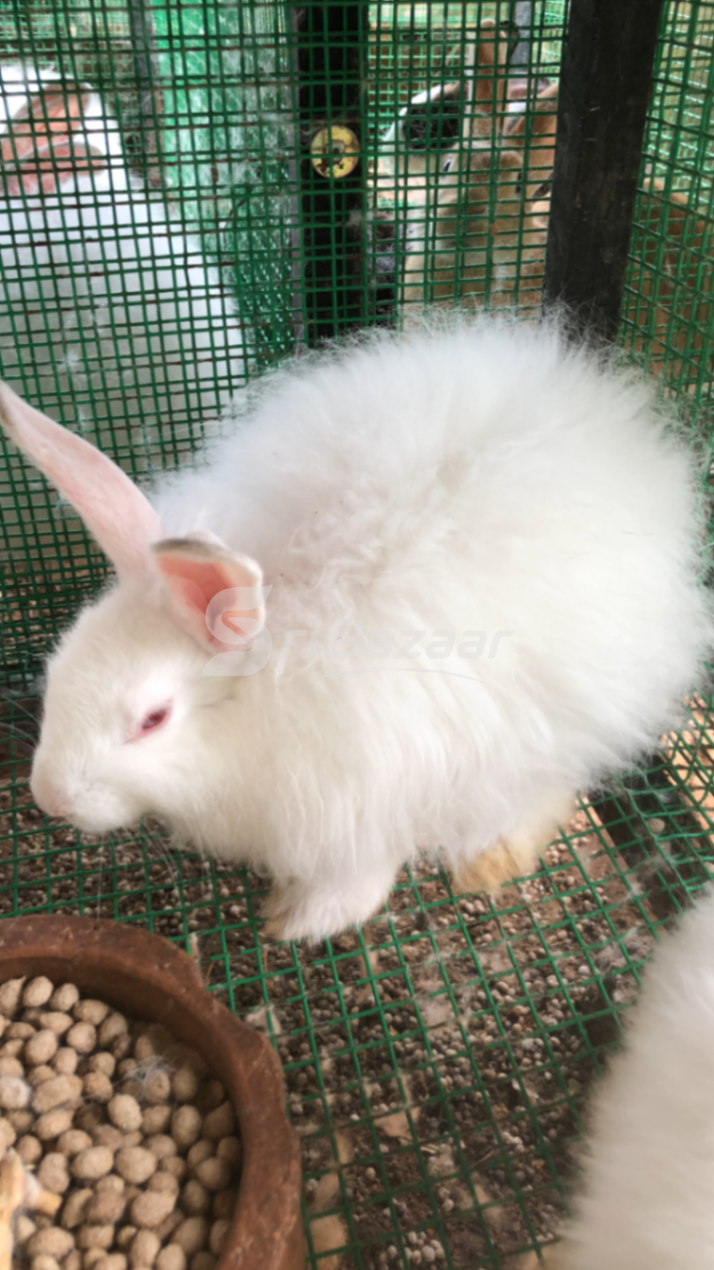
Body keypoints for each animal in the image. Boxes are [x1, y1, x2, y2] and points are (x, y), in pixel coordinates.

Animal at [0, 314, 711, 942]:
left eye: (152, 719)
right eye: (58, 670)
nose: (50, 798)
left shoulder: (372, 794)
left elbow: (360, 876)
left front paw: (298, 921)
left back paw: (489, 859)